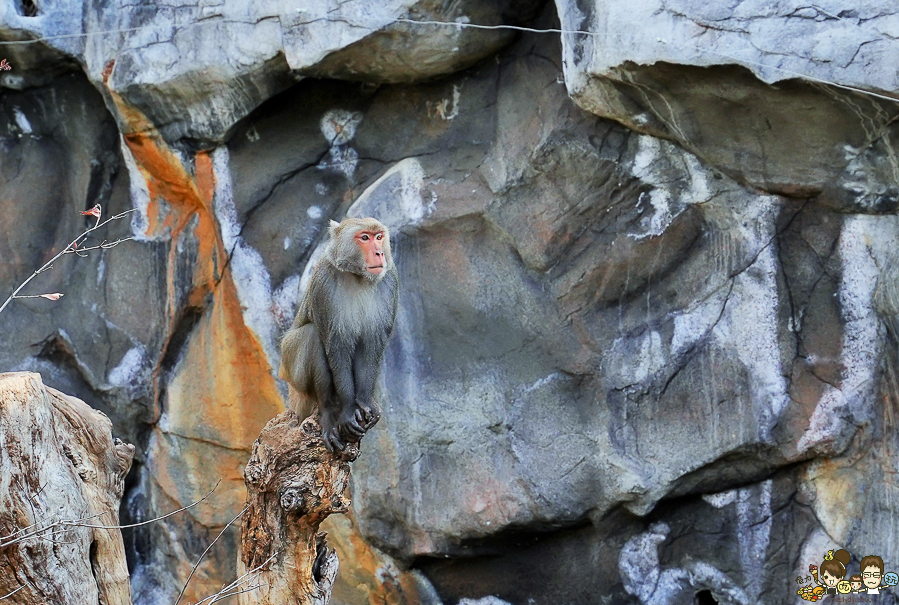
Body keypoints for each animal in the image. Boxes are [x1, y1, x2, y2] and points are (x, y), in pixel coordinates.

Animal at [278, 216, 398, 448]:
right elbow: (337, 346)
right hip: (291, 367)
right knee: (312, 336)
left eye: (379, 237)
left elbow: (370, 345)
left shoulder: (390, 281)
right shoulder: (324, 284)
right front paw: (349, 410)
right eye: (365, 237)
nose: (379, 253)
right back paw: (327, 410)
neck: (358, 276)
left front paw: (365, 402)